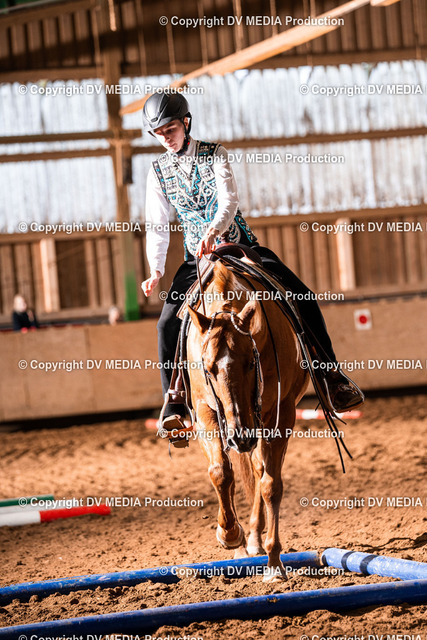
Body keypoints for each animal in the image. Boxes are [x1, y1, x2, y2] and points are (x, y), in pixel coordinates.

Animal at [186, 259, 309, 581]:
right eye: (208, 367)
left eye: (251, 361)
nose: (240, 435)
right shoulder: (205, 411)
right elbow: (220, 472)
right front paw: (229, 534)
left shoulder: (282, 412)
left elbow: (271, 485)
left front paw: (274, 562)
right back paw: (244, 541)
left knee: (260, 470)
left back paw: (255, 538)